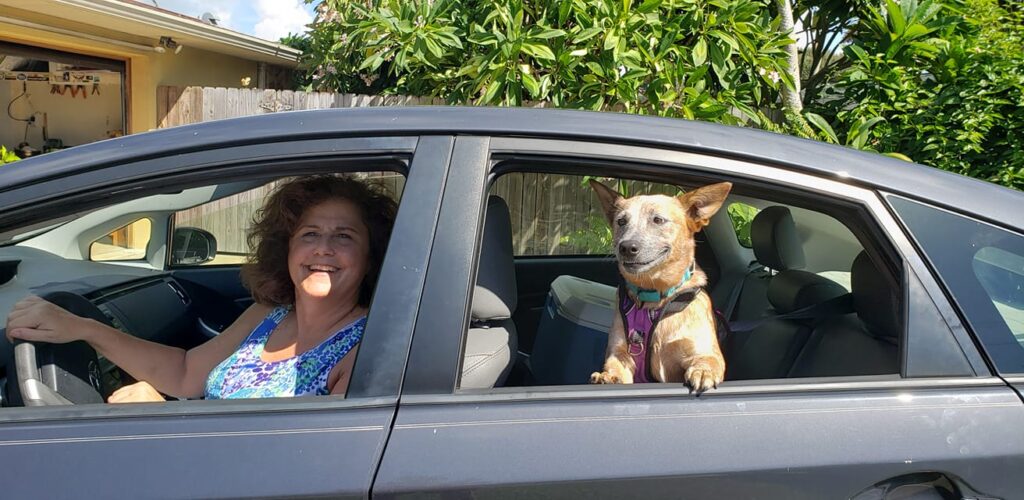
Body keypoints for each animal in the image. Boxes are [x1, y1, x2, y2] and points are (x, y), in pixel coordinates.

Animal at [589, 177, 733, 393]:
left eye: (658, 220)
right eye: (621, 221)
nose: (626, 247)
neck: (653, 298)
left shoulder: (703, 351)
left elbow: (708, 360)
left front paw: (703, 371)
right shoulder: (620, 352)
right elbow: (615, 366)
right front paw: (608, 376)